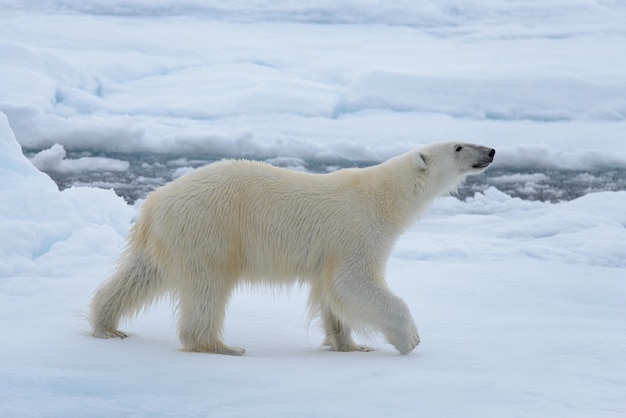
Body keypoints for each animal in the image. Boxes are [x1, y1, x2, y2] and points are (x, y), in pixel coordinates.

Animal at [91, 142, 492, 354]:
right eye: (458, 146)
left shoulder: (329, 252)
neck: (385, 196)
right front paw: (410, 338)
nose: (490, 150)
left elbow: (331, 295)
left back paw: (107, 325)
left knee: (139, 276)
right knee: (208, 286)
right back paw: (220, 345)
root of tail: (153, 203)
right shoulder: (357, 231)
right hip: (209, 230)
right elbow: (353, 283)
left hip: (168, 238)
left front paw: (350, 345)